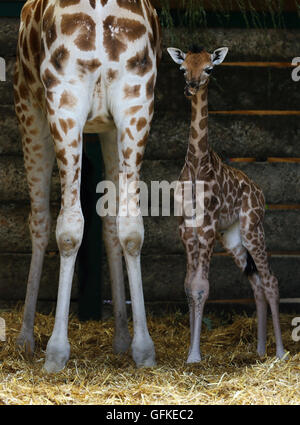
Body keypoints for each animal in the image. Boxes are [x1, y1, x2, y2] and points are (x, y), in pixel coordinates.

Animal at [13, 0, 162, 372]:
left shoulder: (27, 101)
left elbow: (44, 223)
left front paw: (26, 338)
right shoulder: (113, 122)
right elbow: (114, 226)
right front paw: (122, 337)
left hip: (60, 102)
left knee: (63, 226)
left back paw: (53, 349)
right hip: (136, 104)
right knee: (130, 226)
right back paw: (142, 348)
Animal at [168, 47, 288, 364]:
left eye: (209, 68)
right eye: (183, 67)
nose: (191, 86)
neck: (197, 165)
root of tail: (260, 192)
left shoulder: (207, 226)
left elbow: (202, 287)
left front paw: (195, 356)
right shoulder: (186, 228)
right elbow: (189, 286)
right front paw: (189, 352)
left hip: (252, 229)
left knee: (271, 280)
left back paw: (280, 352)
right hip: (232, 237)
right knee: (256, 283)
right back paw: (259, 350)